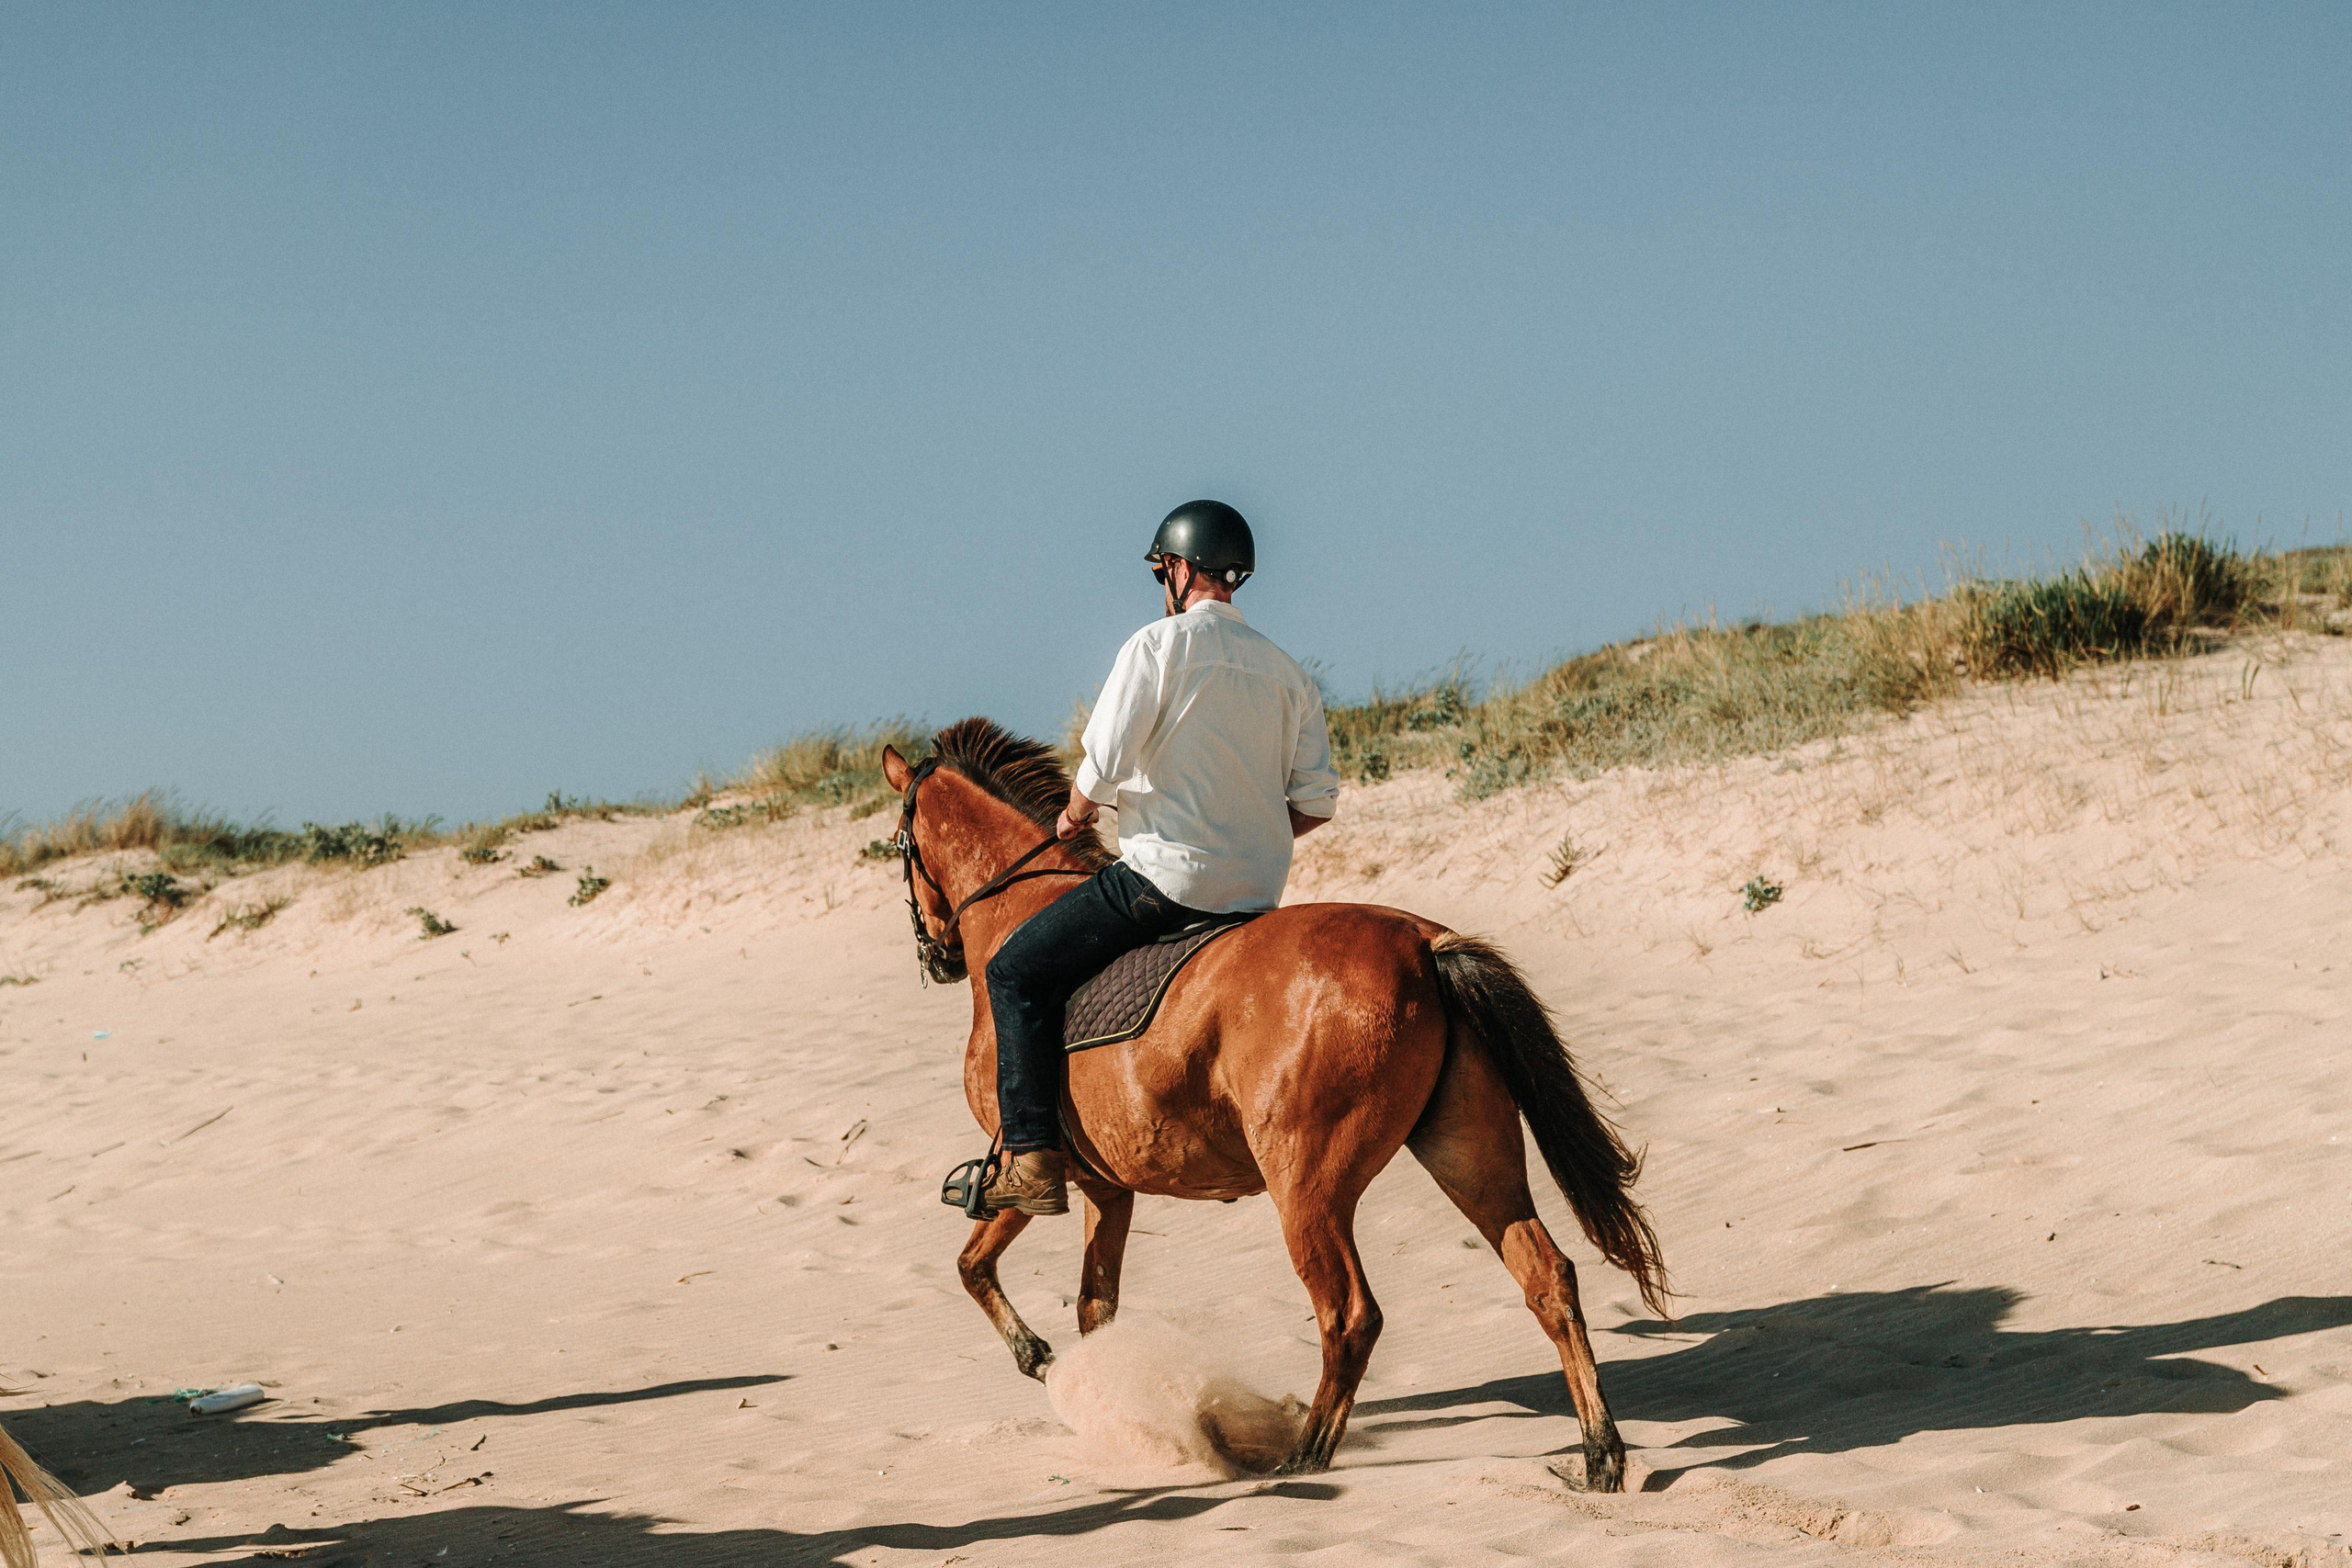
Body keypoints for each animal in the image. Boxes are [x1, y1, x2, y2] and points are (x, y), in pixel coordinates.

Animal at [882, 720, 1669, 1490]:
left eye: (899, 845)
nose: (937, 957)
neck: (1016, 911)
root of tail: (1422, 942)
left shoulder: (1034, 1169)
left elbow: (973, 1265)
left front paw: (1043, 1361)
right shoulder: (1109, 1189)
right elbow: (1093, 1306)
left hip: (1306, 1185)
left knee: (1350, 1316)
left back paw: (1303, 1458)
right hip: (1471, 1152)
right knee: (1548, 1278)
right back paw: (1600, 1454)